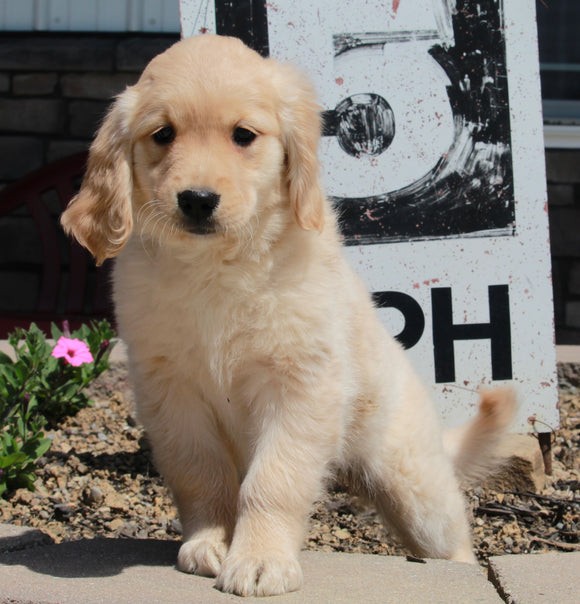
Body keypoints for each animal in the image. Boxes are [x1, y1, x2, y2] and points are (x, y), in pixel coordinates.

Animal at [62, 35, 516, 596]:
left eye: (244, 136)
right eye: (162, 134)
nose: (197, 200)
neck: (216, 269)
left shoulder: (299, 386)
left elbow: (272, 481)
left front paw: (260, 559)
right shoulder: (171, 393)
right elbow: (200, 473)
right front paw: (210, 541)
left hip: (414, 486)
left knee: (449, 540)